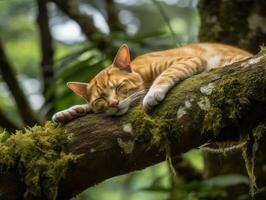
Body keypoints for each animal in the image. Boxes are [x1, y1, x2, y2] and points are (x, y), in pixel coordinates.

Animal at [52, 43, 251, 122]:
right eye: (100, 99)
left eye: (119, 87)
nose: (114, 104)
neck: (140, 70)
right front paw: (71, 111)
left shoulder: (189, 59)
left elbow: (166, 74)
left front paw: (152, 94)